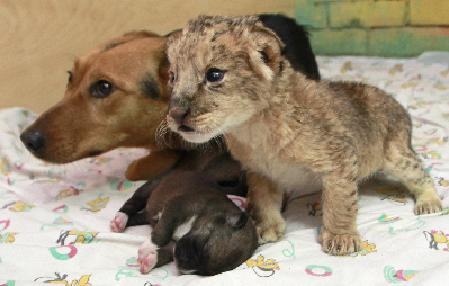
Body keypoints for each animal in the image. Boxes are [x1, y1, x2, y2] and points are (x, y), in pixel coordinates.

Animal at [110, 152, 258, 274]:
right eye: (204, 245)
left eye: (203, 273)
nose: (181, 265)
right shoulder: (175, 207)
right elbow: (162, 232)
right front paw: (147, 248)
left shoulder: (177, 242)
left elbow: (168, 250)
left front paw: (151, 260)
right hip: (152, 186)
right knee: (133, 203)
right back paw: (120, 218)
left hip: (148, 214)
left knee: (139, 217)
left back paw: (121, 223)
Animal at [164, 15, 440, 256]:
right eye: (173, 76)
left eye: (214, 75)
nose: (175, 115)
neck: (252, 128)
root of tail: (398, 104)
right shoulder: (260, 172)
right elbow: (264, 200)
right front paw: (268, 227)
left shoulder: (339, 159)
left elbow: (340, 201)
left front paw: (340, 237)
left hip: (396, 154)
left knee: (420, 173)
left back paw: (429, 202)